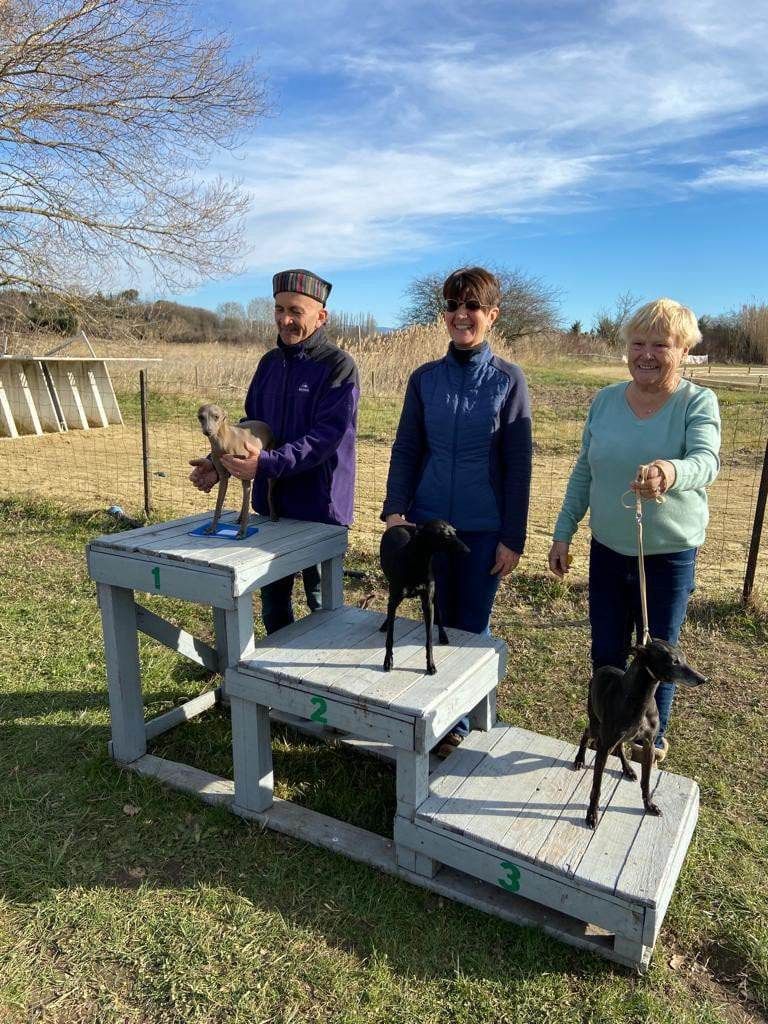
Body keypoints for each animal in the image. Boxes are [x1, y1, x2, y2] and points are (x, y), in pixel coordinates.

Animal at [378, 524, 468, 675]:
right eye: (445, 535)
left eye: (455, 532)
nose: (467, 550)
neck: (416, 563)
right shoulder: (394, 599)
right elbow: (390, 637)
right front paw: (388, 661)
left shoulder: (427, 603)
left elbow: (429, 640)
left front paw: (430, 664)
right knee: (391, 612)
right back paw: (386, 624)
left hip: (434, 595)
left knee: (438, 612)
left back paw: (443, 636)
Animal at [573, 638, 708, 831]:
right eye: (674, 661)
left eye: (684, 658)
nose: (703, 679)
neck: (641, 700)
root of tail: (603, 668)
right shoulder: (604, 747)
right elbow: (596, 787)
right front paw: (591, 814)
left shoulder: (648, 744)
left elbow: (646, 781)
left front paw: (649, 805)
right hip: (596, 725)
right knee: (587, 732)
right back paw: (579, 759)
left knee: (620, 747)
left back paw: (628, 769)